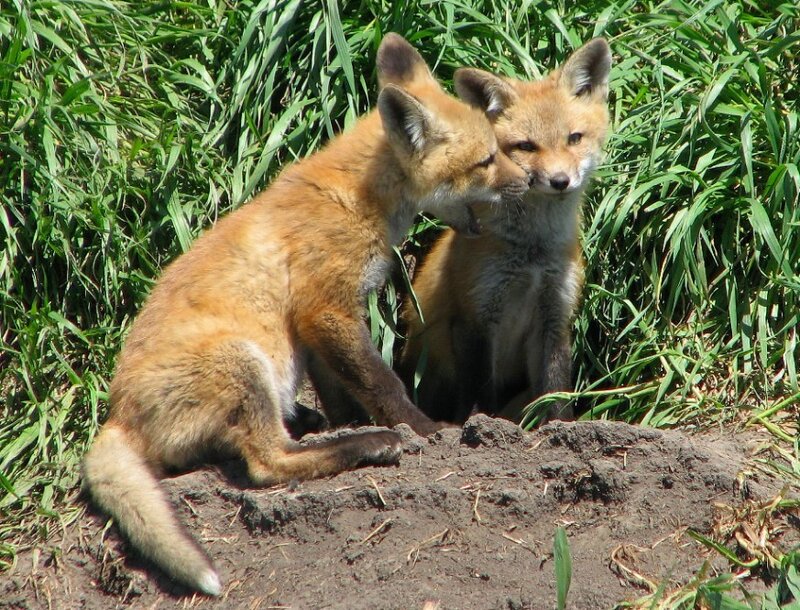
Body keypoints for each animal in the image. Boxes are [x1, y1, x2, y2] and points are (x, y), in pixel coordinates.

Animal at [81, 33, 528, 596]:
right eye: (487, 160)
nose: (534, 179)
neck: (357, 200)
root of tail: (116, 416)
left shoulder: (315, 332)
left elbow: (342, 392)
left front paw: (348, 421)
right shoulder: (326, 309)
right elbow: (383, 382)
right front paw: (421, 428)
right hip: (244, 362)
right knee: (267, 465)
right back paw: (368, 445)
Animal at [399, 38, 612, 425]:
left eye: (574, 138)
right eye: (526, 146)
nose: (560, 181)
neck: (532, 255)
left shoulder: (555, 314)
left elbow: (556, 389)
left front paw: (562, 428)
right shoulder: (476, 318)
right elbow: (480, 390)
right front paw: (483, 426)